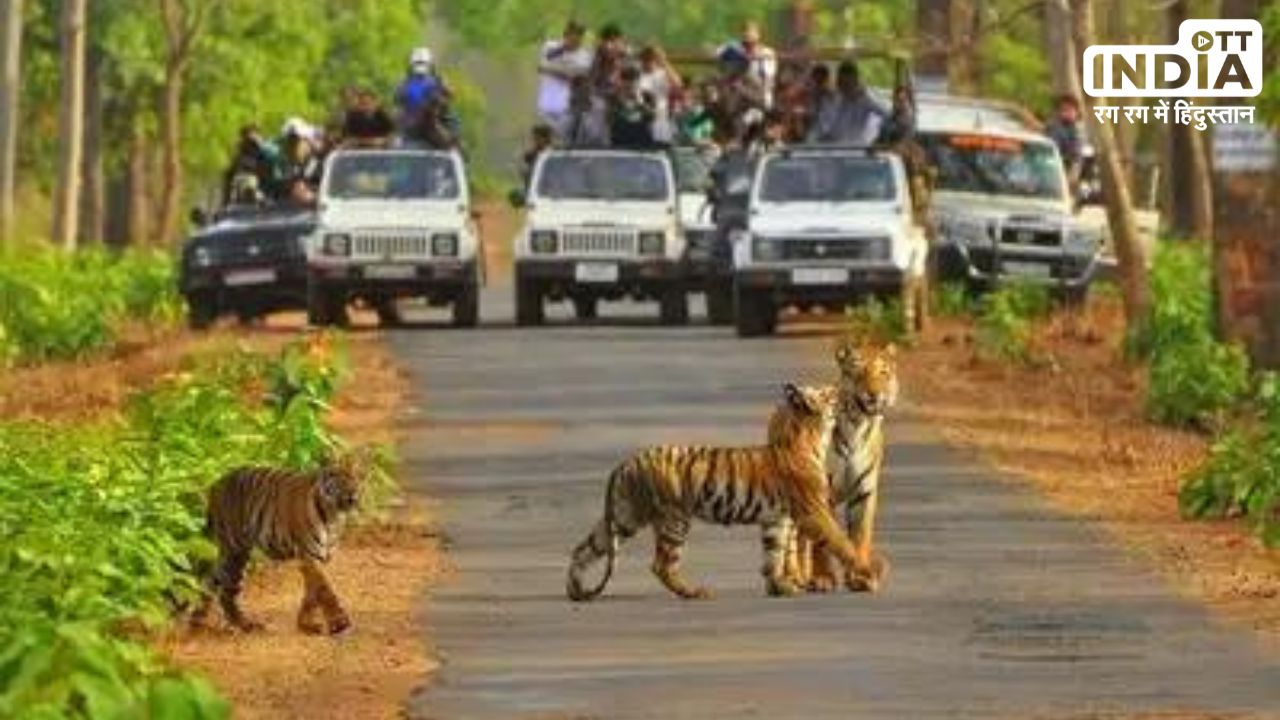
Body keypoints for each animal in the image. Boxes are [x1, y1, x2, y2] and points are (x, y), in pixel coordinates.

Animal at [190, 453, 363, 635]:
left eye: (356, 477)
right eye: (339, 476)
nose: (352, 495)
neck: (333, 516)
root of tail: (215, 485)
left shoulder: (321, 556)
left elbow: (312, 590)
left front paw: (306, 623)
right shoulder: (309, 554)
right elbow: (324, 588)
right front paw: (339, 623)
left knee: (211, 580)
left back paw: (200, 620)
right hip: (234, 550)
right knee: (225, 590)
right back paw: (245, 624)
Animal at [566, 382, 879, 602]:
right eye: (830, 393)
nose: (848, 393)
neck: (807, 436)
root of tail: (626, 462)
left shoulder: (776, 519)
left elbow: (774, 554)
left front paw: (779, 586)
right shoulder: (814, 511)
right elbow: (840, 541)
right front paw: (870, 571)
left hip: (624, 516)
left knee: (583, 549)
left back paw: (575, 590)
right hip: (674, 519)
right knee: (662, 565)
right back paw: (694, 592)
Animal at [796, 341, 898, 594]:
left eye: (883, 373)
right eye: (858, 372)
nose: (874, 394)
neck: (858, 426)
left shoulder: (864, 492)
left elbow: (860, 537)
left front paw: (860, 576)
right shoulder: (822, 492)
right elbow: (822, 541)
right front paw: (822, 578)